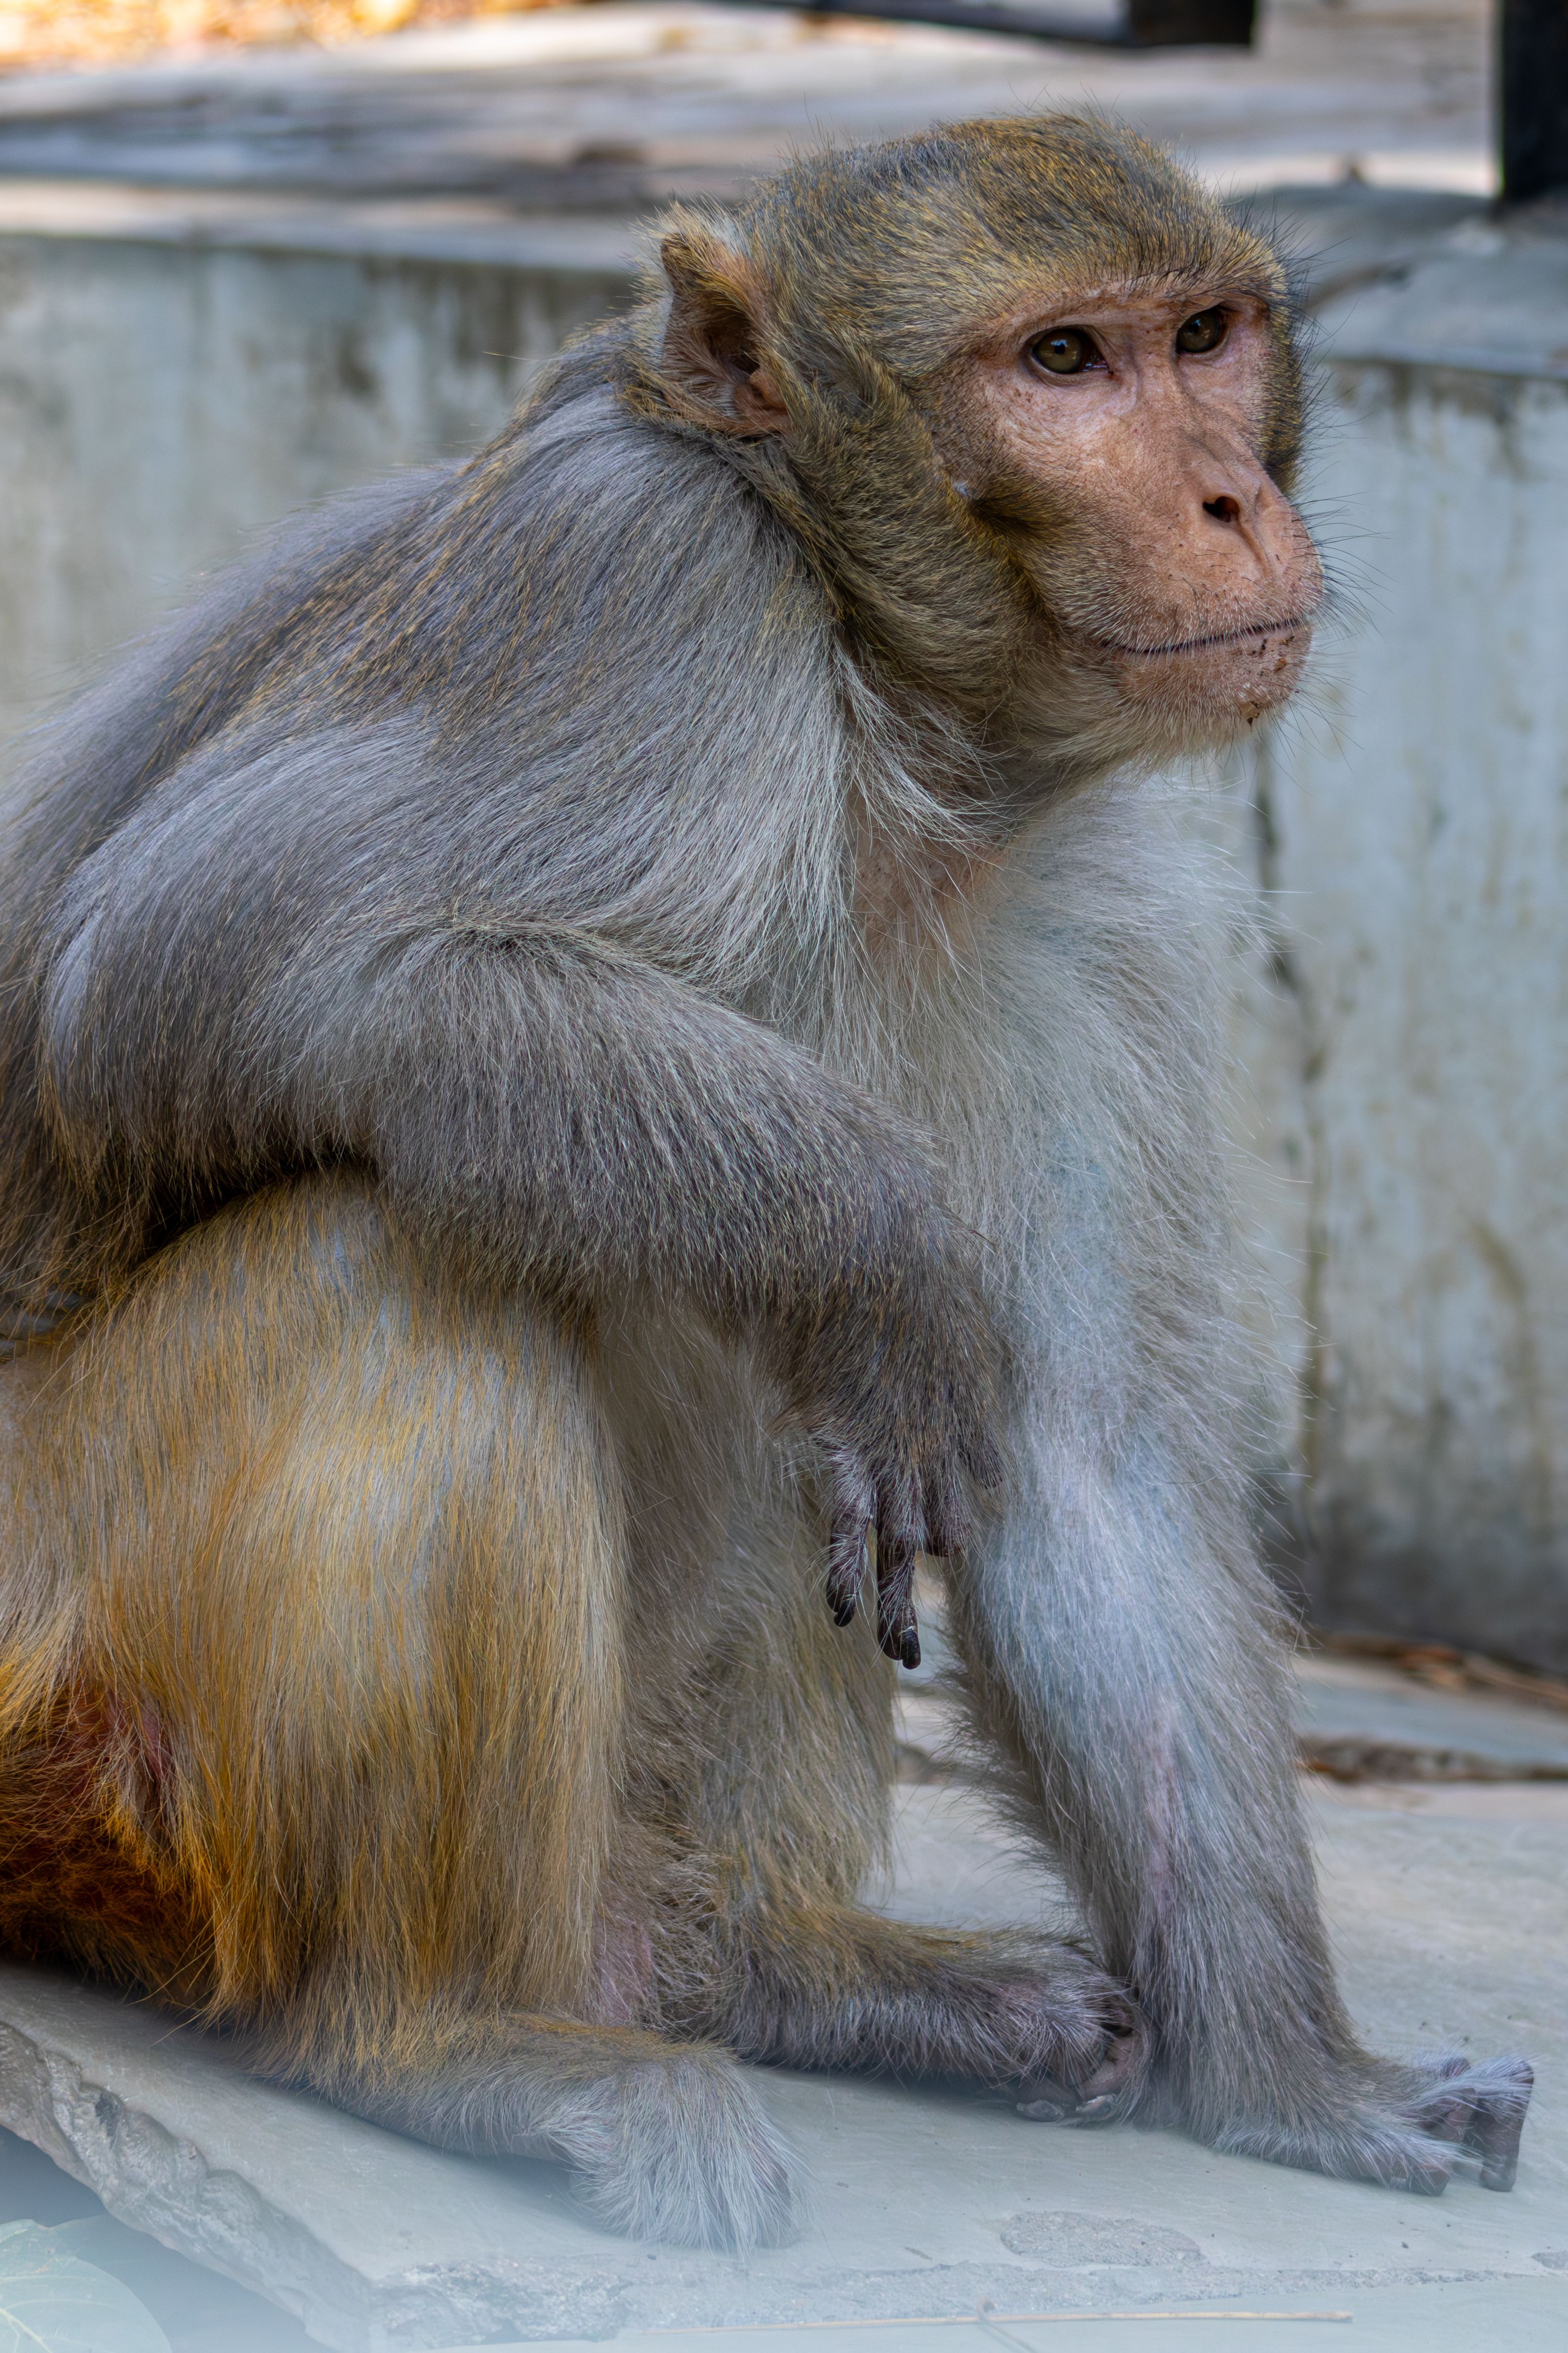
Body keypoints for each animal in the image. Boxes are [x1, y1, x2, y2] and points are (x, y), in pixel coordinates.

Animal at [0, 115, 1532, 2251]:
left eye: (1202, 339)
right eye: (1063, 363)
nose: (1229, 497)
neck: (878, 720)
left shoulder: (1075, 905)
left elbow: (1077, 1454)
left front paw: (1291, 2079)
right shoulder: (634, 578)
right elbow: (178, 966)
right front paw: (869, 1240)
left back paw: (783, 1970)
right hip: (76, 1719)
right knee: (398, 1259)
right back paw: (446, 2042)